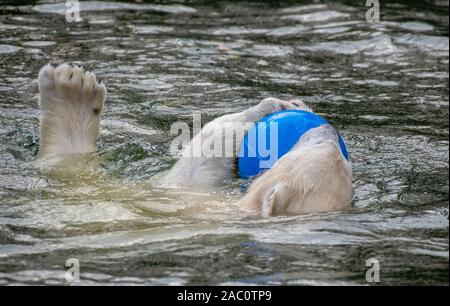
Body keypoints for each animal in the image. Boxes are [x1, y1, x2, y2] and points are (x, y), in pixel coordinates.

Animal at [38, 62, 354, 215]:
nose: (331, 131)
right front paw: (284, 105)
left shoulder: (188, 203)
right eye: (346, 161)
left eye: (320, 146)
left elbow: (201, 158)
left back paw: (72, 88)